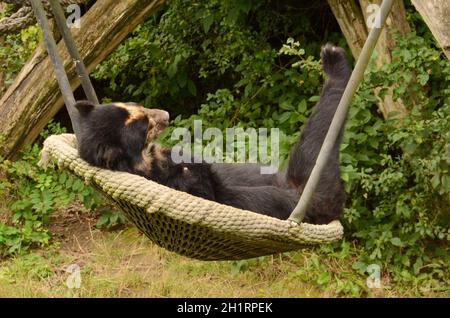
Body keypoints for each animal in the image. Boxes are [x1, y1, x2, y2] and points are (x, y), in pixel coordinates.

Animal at [74, 43, 352, 225]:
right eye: (144, 126)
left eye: (138, 106)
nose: (165, 115)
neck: (147, 158)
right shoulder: (172, 183)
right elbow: (205, 186)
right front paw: (187, 164)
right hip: (312, 189)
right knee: (315, 145)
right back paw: (335, 64)